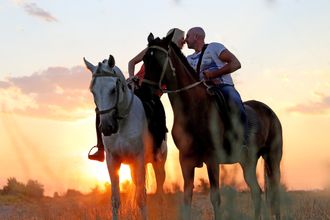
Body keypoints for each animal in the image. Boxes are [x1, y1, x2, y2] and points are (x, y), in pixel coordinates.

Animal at [84, 54, 168, 218]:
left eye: (112, 90)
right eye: (92, 91)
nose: (107, 127)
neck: (122, 124)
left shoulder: (139, 159)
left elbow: (142, 199)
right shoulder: (112, 161)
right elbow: (115, 200)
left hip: (158, 162)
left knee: (160, 194)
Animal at [142, 33, 284, 220]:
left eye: (158, 60)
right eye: (145, 59)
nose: (145, 91)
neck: (194, 108)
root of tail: (270, 112)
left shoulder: (212, 158)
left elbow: (215, 198)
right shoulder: (185, 159)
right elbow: (187, 198)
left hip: (273, 158)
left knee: (275, 193)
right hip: (248, 162)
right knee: (256, 192)